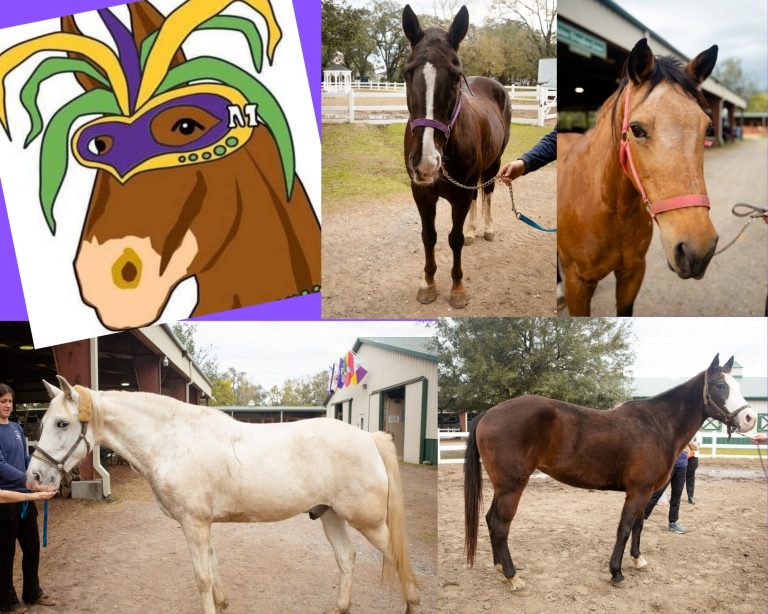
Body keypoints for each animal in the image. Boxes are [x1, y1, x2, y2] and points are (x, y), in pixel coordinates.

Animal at [28, 377, 420, 614]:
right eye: (42, 422)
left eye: (62, 423)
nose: (35, 477)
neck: (172, 440)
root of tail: (368, 437)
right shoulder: (200, 524)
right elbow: (213, 566)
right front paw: (223, 601)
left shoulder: (194, 524)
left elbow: (202, 576)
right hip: (330, 515)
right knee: (346, 558)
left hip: (368, 522)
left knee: (399, 559)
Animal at [402, 5, 511, 309]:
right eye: (407, 73)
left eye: (454, 75)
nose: (426, 163)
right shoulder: (421, 192)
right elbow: (429, 237)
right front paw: (428, 283)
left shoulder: (459, 196)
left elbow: (455, 238)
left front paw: (458, 288)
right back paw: (475, 231)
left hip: (494, 164)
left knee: (486, 193)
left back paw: (486, 229)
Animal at [464, 354, 756, 591]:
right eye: (720, 386)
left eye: (737, 385)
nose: (749, 419)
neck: (658, 424)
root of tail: (489, 413)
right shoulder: (637, 491)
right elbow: (624, 528)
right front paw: (616, 573)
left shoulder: (646, 491)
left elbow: (639, 525)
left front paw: (638, 560)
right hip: (512, 486)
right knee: (501, 526)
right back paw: (513, 576)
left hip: (503, 486)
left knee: (491, 520)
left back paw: (499, 568)